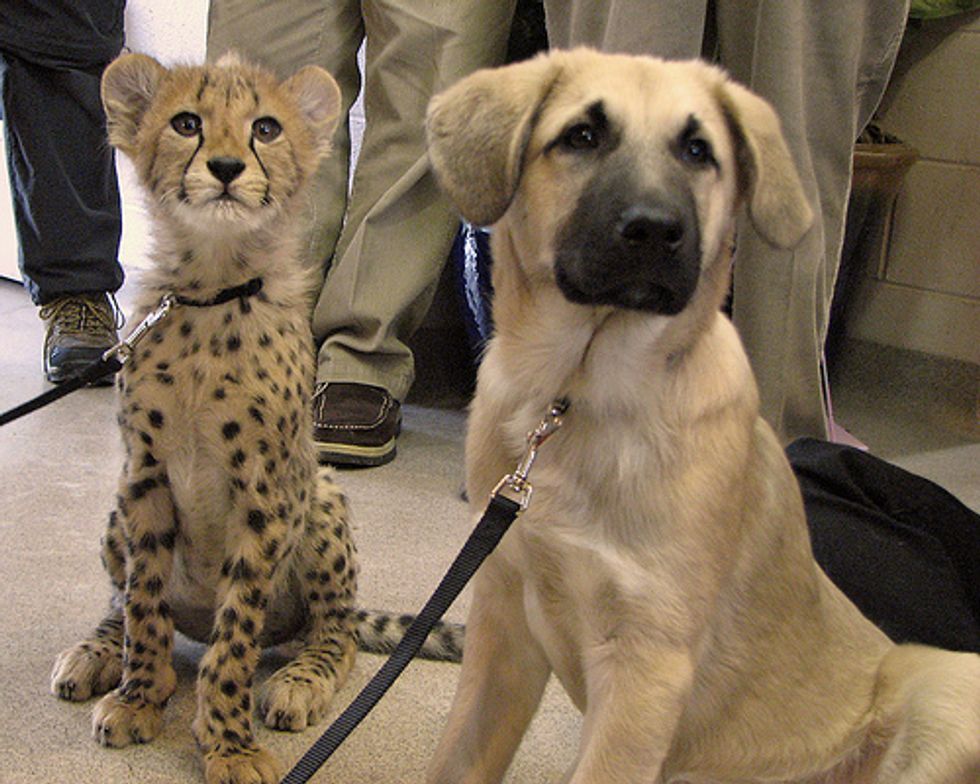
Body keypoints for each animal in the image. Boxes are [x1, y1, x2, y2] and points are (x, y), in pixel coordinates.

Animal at [424, 49, 980, 784]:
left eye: (698, 151)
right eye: (580, 136)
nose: (655, 229)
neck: (578, 396)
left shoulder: (646, 663)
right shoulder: (504, 626)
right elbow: (456, 757)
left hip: (945, 684)